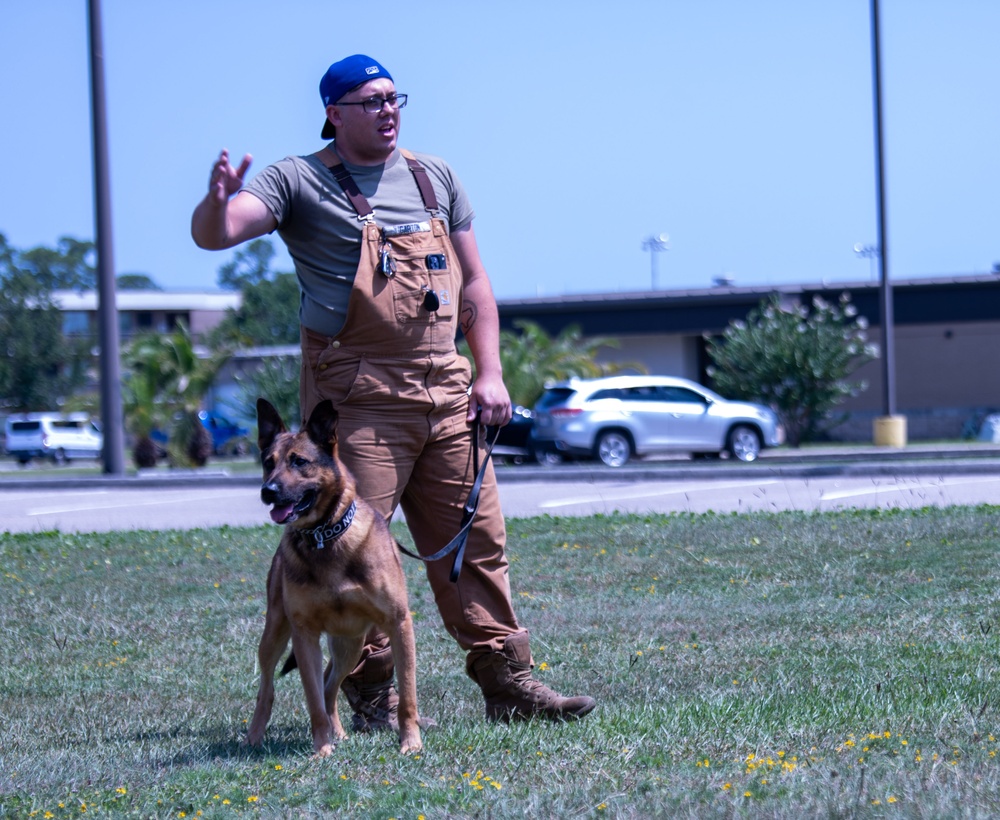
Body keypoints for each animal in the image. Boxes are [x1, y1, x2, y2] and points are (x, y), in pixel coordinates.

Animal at [250, 398, 426, 756]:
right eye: (267, 462)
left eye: (299, 461)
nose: (268, 491)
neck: (325, 536)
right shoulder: (304, 634)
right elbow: (313, 701)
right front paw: (321, 750)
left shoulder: (399, 624)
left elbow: (407, 698)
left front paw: (411, 744)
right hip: (276, 633)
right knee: (269, 688)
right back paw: (254, 737)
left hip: (350, 644)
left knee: (331, 685)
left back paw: (340, 733)